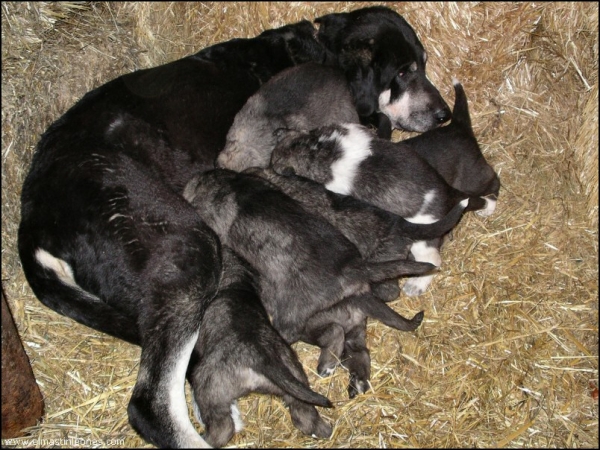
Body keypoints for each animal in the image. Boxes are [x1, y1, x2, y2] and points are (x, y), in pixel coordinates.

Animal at [183, 169, 432, 398]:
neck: (232, 182)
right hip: (355, 326)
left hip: (292, 316)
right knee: (358, 350)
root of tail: (351, 267)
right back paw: (353, 380)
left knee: (314, 334)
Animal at [190, 248, 332, 448]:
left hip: (209, 391)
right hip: (295, 381)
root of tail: (258, 355)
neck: (237, 282)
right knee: (305, 416)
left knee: (222, 429)